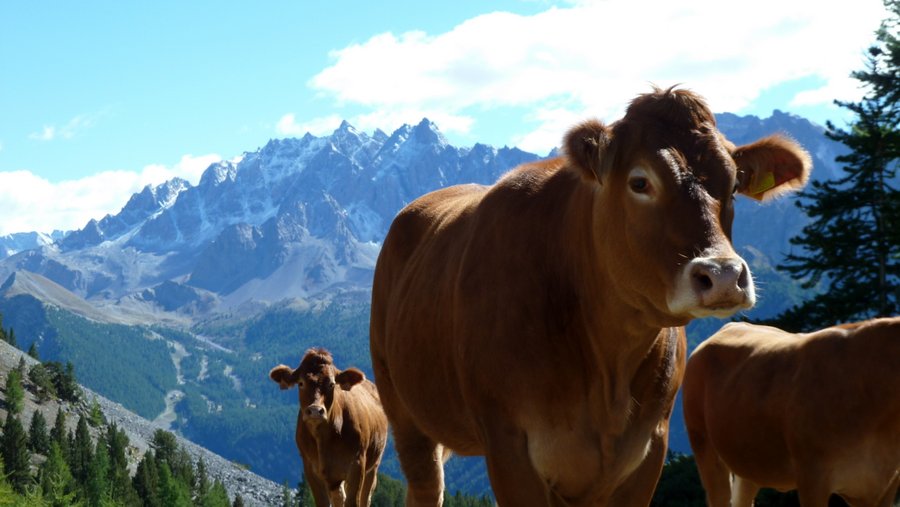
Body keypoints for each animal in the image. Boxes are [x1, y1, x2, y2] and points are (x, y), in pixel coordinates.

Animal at [270, 350, 390, 507]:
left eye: (332, 384)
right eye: (301, 383)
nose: (315, 410)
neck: (324, 438)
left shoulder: (357, 464)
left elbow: (353, 501)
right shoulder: (310, 468)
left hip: (373, 465)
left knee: (365, 498)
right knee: (339, 497)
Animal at [370, 85, 812, 506]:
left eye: (734, 183)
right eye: (640, 182)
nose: (722, 275)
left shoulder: (648, 449)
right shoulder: (508, 446)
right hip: (405, 414)